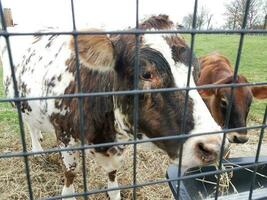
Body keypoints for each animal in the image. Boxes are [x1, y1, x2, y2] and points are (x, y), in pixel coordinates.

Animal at [1, 15, 228, 200]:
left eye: (196, 71)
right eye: (146, 74)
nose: (213, 146)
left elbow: (112, 173)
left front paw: (114, 191)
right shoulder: (64, 134)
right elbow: (70, 171)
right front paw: (68, 192)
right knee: (30, 124)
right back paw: (37, 149)